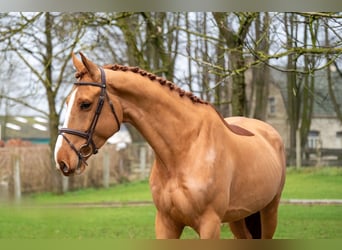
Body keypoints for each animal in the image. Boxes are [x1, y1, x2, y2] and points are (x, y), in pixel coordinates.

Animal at [54, 52, 286, 238]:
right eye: (67, 102)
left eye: (85, 104)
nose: (61, 159)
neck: (184, 150)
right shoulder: (166, 222)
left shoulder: (210, 224)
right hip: (239, 217)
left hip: (269, 212)